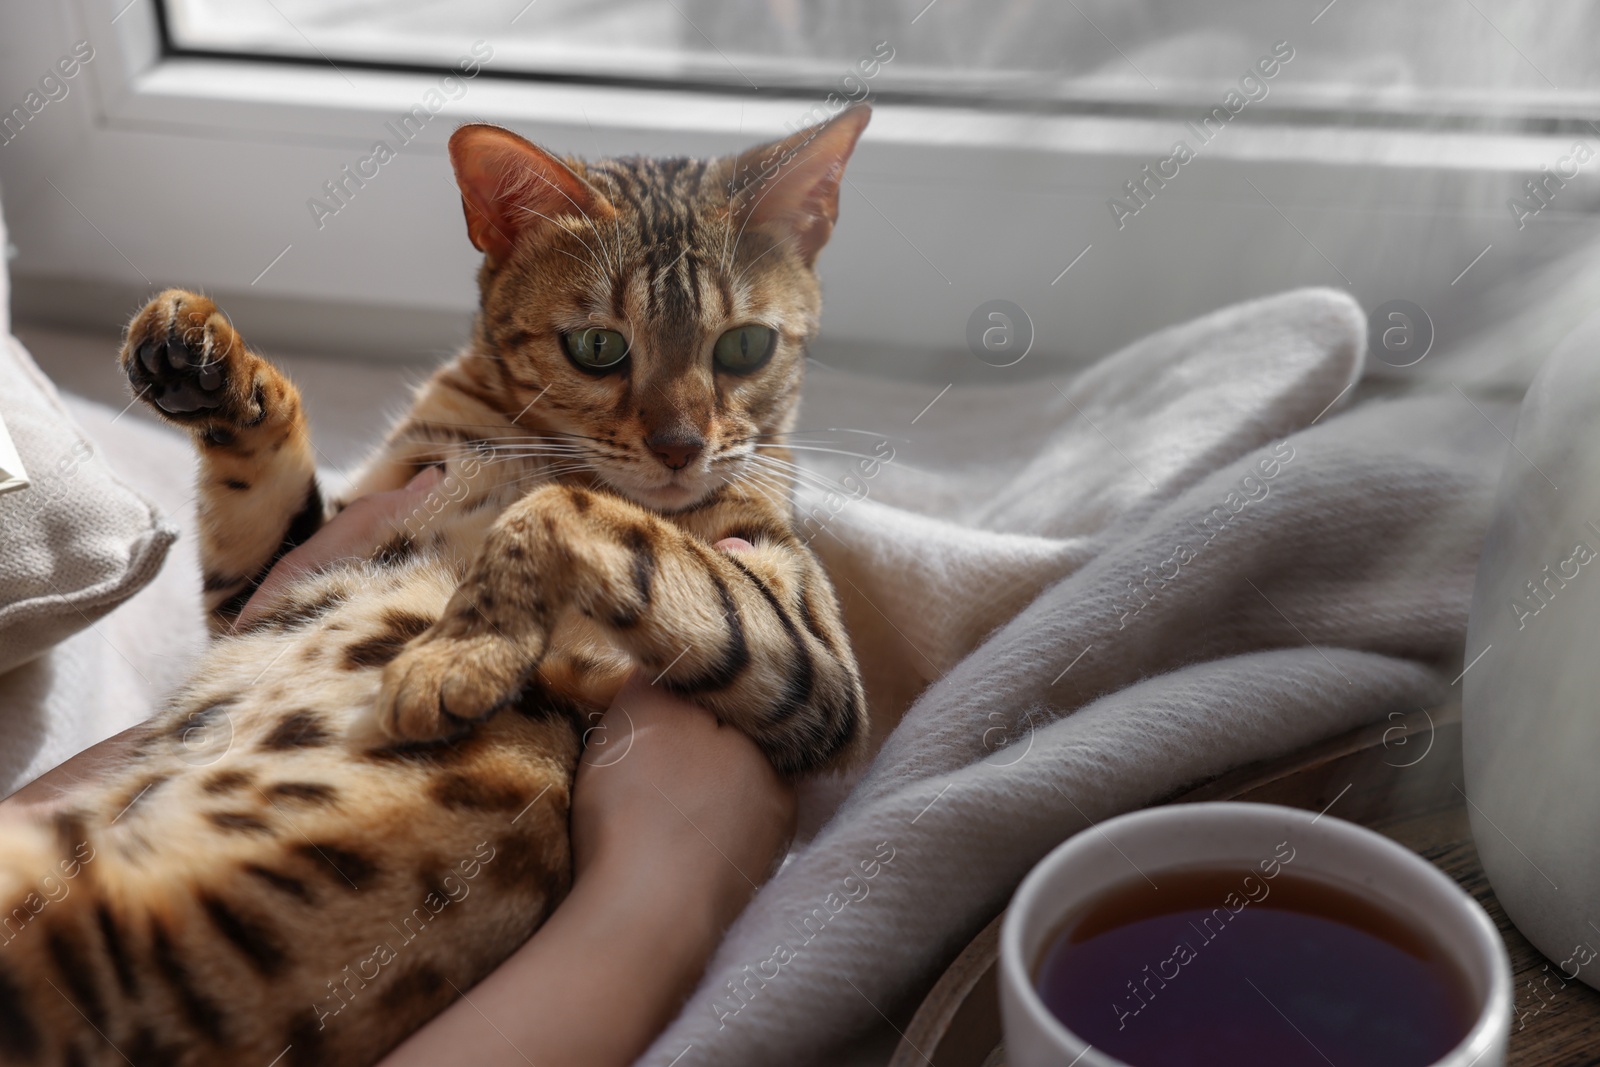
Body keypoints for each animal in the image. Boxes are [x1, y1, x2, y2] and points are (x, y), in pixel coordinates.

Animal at [0, 103, 876, 1062]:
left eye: (747, 346)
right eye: (598, 347)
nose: (682, 448)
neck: (506, 433)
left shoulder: (813, 659)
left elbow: (559, 508)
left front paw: (459, 655)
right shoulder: (273, 575)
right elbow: (265, 487)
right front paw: (203, 356)